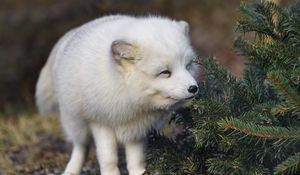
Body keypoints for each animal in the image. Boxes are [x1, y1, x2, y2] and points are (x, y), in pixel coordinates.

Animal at [35, 15, 199, 175]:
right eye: (165, 72)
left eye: (188, 66)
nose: (194, 88)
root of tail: (74, 32)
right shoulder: (100, 122)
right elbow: (108, 158)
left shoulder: (137, 129)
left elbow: (136, 159)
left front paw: (139, 172)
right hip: (75, 123)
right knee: (81, 147)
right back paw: (71, 170)